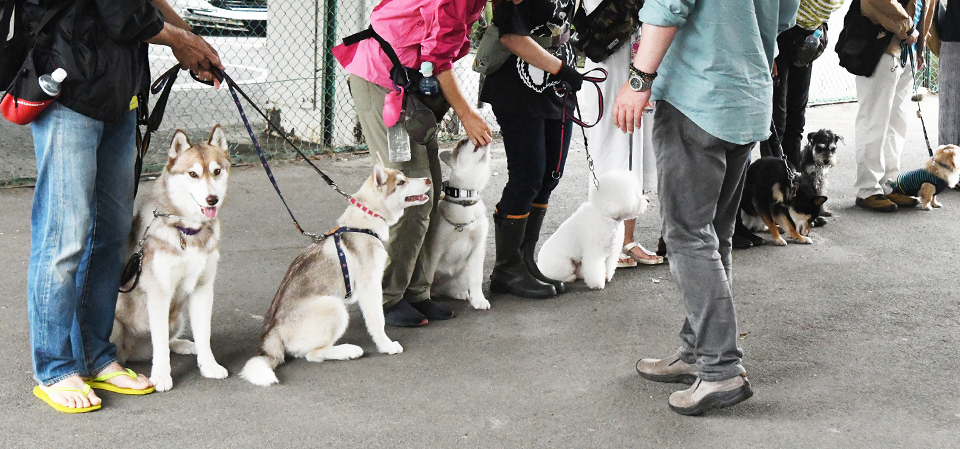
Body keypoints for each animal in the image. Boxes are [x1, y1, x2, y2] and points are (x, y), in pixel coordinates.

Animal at [112, 124, 231, 390]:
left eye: (217, 171)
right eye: (193, 174)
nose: (212, 199)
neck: (187, 230)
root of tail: (131, 352)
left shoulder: (203, 288)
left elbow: (204, 334)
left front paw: (209, 365)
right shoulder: (160, 293)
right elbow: (159, 346)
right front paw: (161, 376)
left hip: (176, 318)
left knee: (167, 341)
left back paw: (184, 345)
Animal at [240, 158, 432, 384]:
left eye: (406, 177)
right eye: (401, 182)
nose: (428, 180)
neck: (364, 222)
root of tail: (272, 333)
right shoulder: (370, 286)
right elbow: (378, 320)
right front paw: (386, 346)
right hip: (334, 306)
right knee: (312, 355)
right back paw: (349, 350)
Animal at [426, 138, 492, 310]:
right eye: (462, 142)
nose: (468, 137)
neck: (465, 199)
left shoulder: (477, 249)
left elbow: (476, 278)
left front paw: (478, 299)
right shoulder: (434, 250)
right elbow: (427, 277)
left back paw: (459, 293)